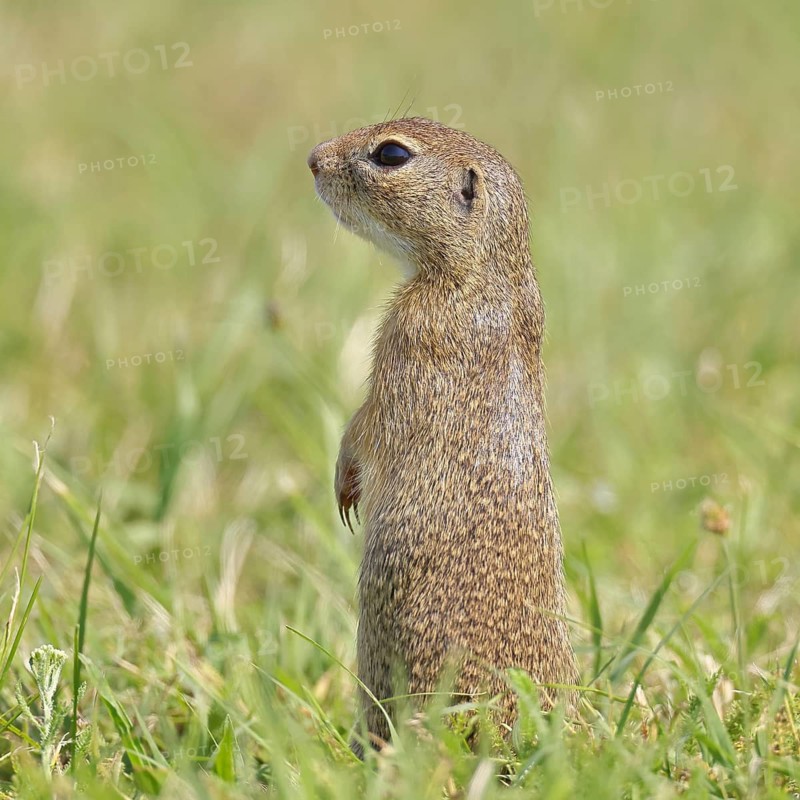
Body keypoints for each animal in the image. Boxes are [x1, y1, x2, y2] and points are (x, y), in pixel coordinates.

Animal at [308, 117, 578, 755]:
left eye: (391, 154)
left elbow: (368, 425)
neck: (486, 276)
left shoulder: (405, 340)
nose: (312, 158)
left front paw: (345, 487)